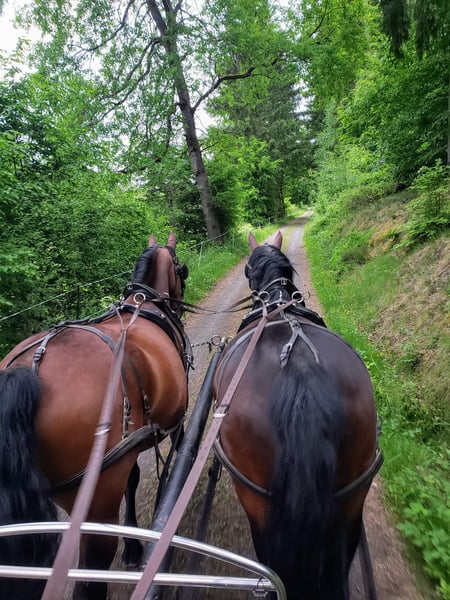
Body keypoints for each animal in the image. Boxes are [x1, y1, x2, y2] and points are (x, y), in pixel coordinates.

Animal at [0, 232, 191, 600]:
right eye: (181, 269)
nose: (179, 303)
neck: (145, 304)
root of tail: (29, 370)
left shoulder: (127, 448)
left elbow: (133, 480)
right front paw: (135, 547)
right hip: (94, 500)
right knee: (90, 572)